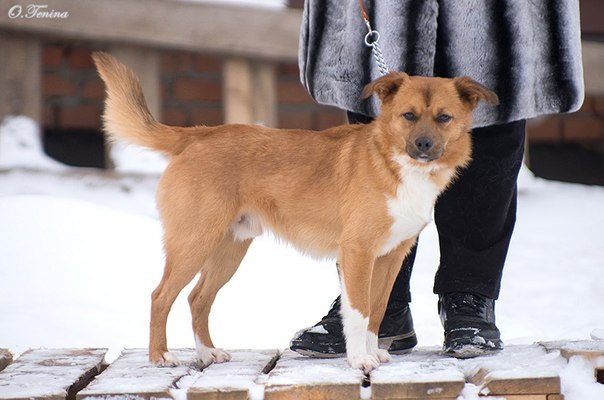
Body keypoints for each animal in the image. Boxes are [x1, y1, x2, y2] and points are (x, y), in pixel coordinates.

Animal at [92, 52, 498, 373]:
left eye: (444, 118)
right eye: (408, 115)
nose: (424, 145)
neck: (396, 166)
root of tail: (197, 134)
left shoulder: (390, 257)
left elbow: (378, 309)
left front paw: (373, 353)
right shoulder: (357, 254)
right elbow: (359, 311)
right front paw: (359, 360)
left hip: (229, 250)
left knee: (198, 299)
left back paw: (207, 353)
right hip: (194, 242)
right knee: (161, 296)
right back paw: (160, 356)